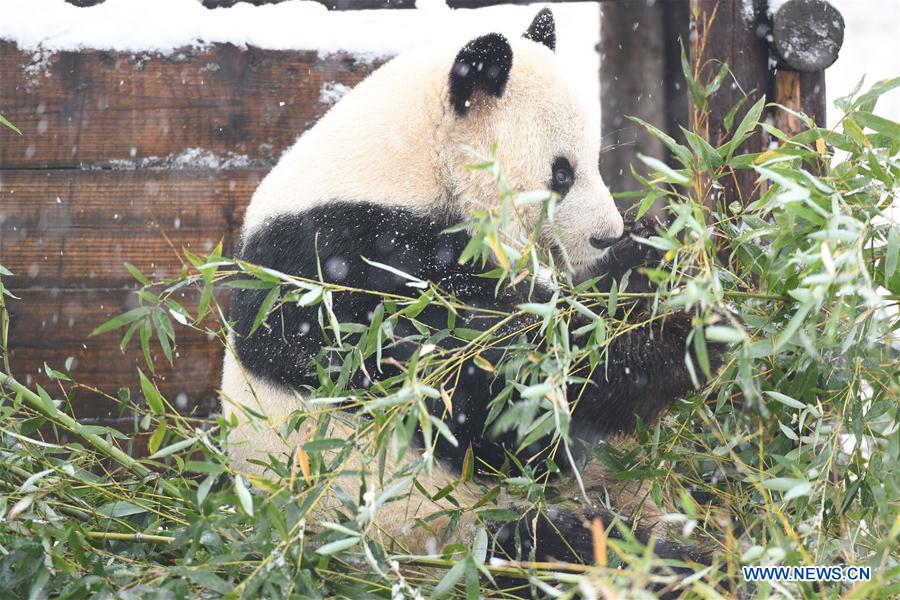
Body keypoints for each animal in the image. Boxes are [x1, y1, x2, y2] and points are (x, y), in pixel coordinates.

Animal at [221, 9, 720, 572]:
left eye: (595, 160)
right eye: (561, 174)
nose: (606, 236)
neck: (405, 164)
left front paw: (652, 260)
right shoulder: (344, 271)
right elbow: (489, 393)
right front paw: (680, 338)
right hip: (436, 520)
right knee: (564, 546)